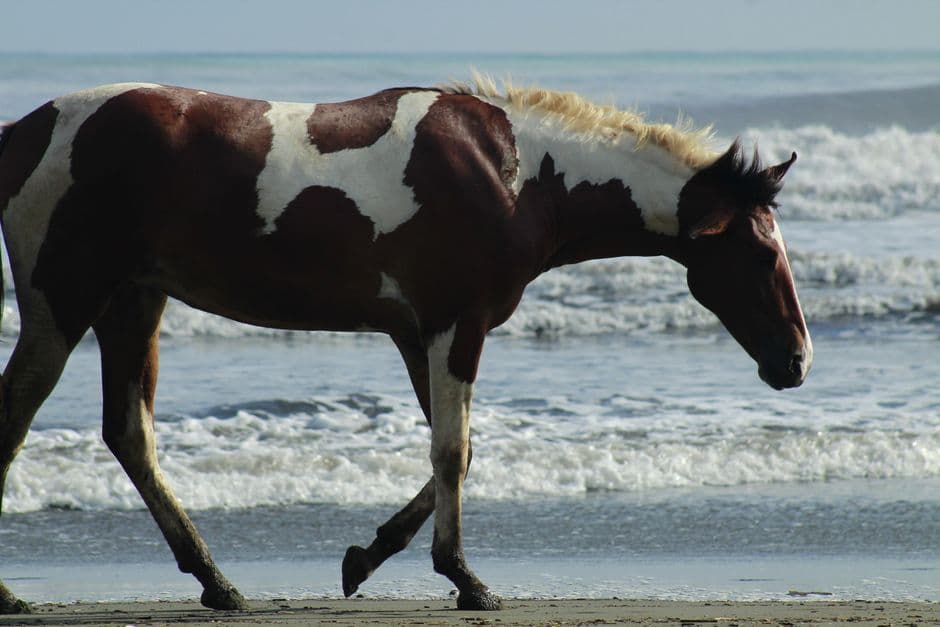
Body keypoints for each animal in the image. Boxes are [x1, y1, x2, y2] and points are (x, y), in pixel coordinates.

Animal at [0, 76, 812, 613]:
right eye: (761, 253)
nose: (796, 362)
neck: (516, 174)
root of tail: (22, 133)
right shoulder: (456, 324)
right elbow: (452, 451)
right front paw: (465, 578)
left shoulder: (415, 333)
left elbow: (456, 451)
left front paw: (366, 556)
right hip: (62, 305)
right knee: (21, 417)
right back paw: (18, 591)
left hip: (134, 301)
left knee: (129, 433)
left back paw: (217, 582)